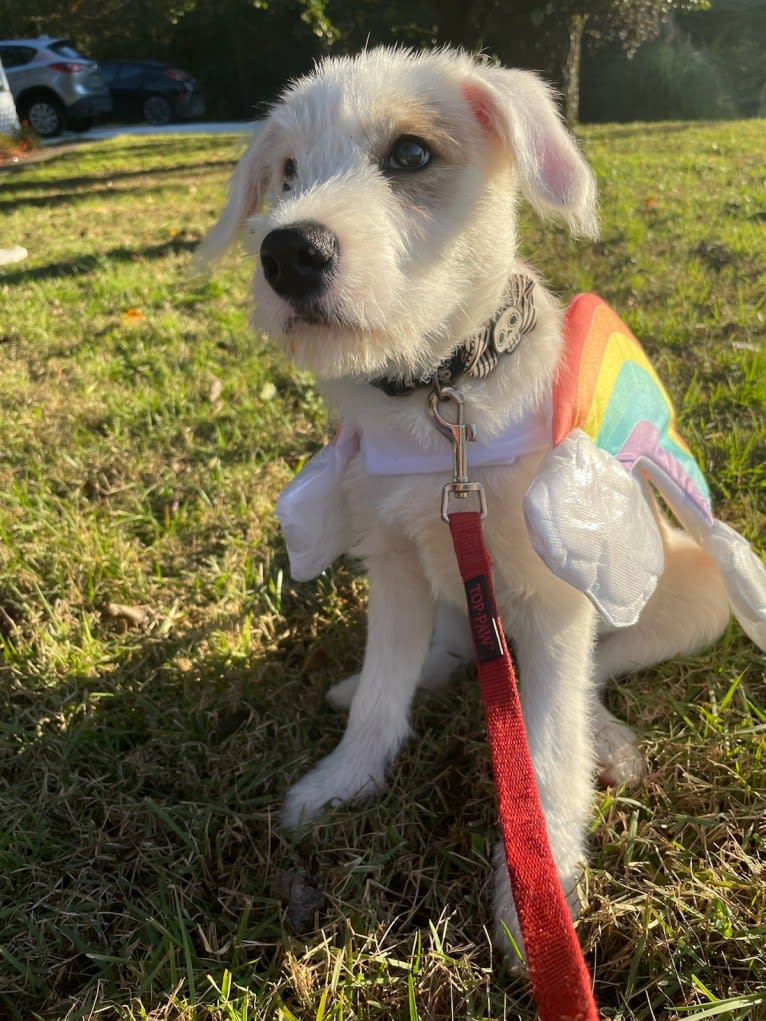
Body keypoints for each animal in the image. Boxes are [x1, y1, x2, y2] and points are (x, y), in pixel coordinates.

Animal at [199, 47, 766, 951]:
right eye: (285, 172)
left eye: (410, 154)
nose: (287, 254)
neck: (441, 394)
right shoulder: (396, 566)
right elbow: (386, 688)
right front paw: (342, 780)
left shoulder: (556, 603)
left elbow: (547, 746)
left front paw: (541, 883)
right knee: (444, 654)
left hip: (691, 596)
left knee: (586, 683)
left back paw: (606, 739)